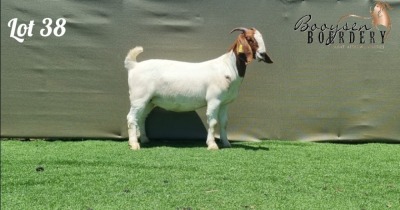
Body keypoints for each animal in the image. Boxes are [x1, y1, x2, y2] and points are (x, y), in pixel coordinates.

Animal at [124, 27, 272, 150]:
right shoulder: (214, 100)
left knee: (141, 118)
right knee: (131, 117)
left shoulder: (225, 103)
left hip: (149, 101)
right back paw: (134, 144)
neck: (228, 67)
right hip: (139, 97)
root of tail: (134, 66)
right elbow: (213, 122)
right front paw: (212, 145)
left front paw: (226, 144)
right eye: (250, 39)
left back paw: (144, 140)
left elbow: (224, 122)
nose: (263, 54)